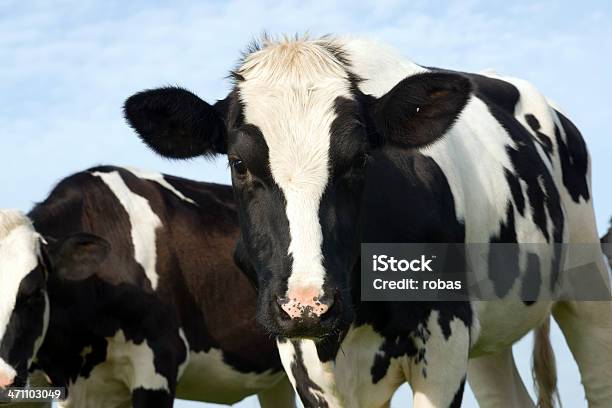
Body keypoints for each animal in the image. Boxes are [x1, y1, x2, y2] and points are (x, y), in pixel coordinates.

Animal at [124, 35, 612, 408]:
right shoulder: (301, 357)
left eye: (360, 160)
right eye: (239, 163)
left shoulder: (445, 336)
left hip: (587, 279)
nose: (308, 303)